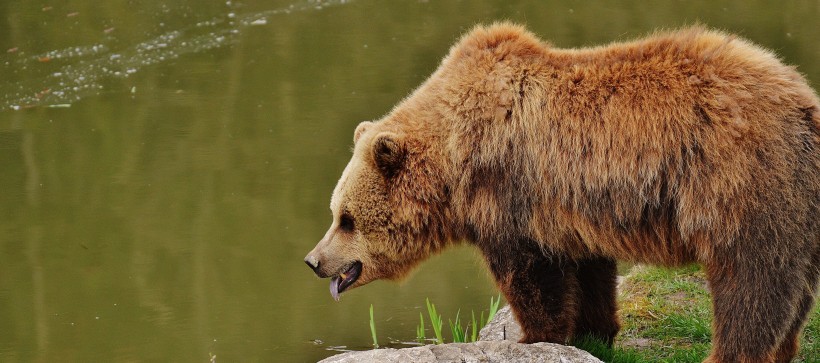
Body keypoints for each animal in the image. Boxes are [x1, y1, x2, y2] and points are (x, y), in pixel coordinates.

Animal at [304, 23, 816, 363]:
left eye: (346, 218)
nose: (313, 260)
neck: (454, 160)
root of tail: (802, 99)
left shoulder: (510, 194)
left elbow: (532, 275)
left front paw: (533, 338)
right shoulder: (576, 204)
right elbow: (590, 273)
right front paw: (593, 332)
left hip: (740, 183)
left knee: (749, 284)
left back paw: (731, 353)